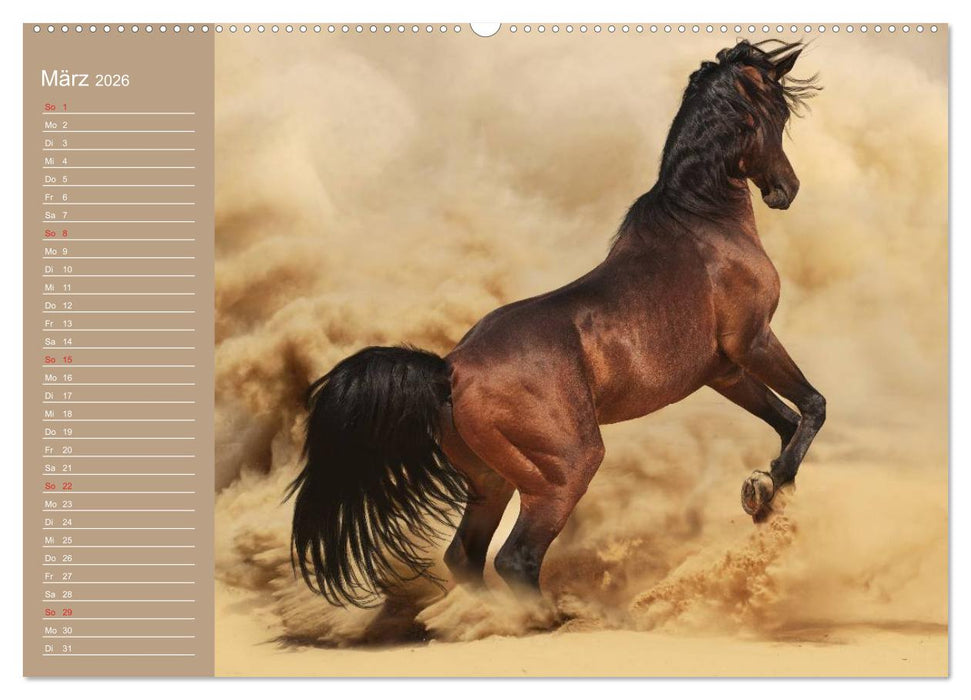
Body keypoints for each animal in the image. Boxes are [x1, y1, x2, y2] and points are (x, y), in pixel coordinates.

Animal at [288, 39, 825, 607]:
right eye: (778, 112)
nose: (785, 190)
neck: (703, 223)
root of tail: (449, 370)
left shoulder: (724, 372)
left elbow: (785, 422)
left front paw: (767, 495)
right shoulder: (754, 342)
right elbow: (812, 408)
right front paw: (768, 487)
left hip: (493, 479)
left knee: (466, 556)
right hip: (565, 468)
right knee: (515, 557)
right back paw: (555, 616)